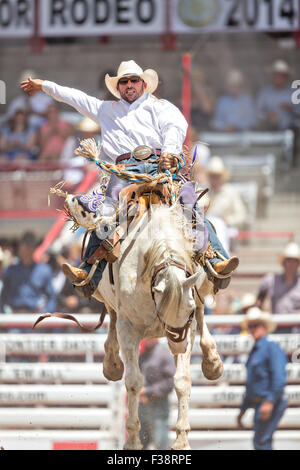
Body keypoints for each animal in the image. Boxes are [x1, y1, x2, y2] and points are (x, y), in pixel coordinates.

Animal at [86, 200, 223, 450]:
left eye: (187, 311)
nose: (178, 347)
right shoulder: (128, 328)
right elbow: (133, 382)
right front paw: (132, 441)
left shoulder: (188, 326)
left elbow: (182, 380)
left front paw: (181, 440)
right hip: (106, 299)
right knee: (111, 316)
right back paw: (112, 364)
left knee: (202, 313)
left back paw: (212, 361)